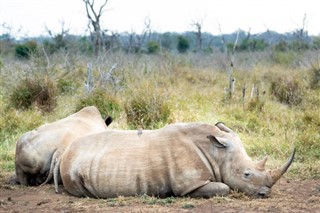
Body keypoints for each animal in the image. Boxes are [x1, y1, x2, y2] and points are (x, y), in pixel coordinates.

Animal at [57, 122, 296, 199]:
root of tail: (66, 150)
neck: (216, 152)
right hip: (70, 165)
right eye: (247, 174)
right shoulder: (190, 184)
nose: (265, 194)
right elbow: (224, 188)